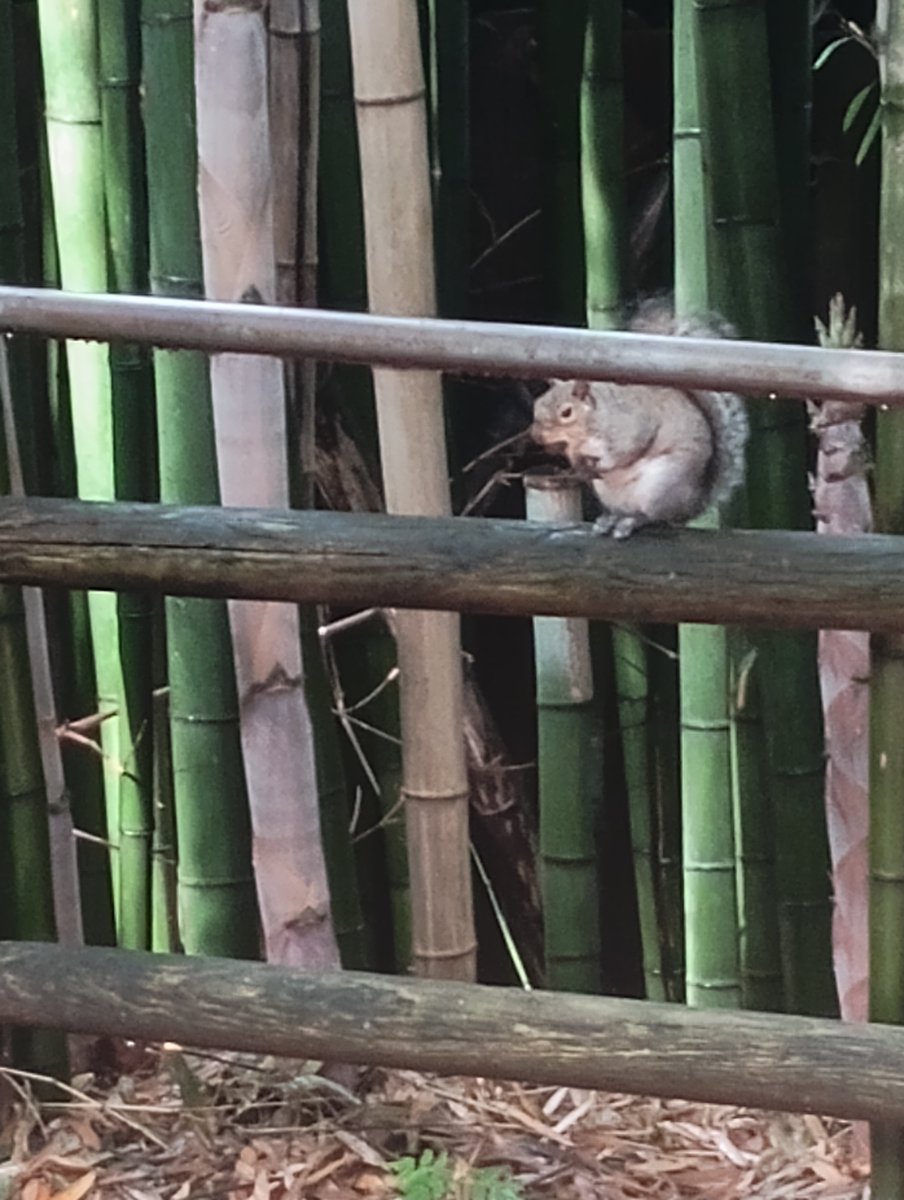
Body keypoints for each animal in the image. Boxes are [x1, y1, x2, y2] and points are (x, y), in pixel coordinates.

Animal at [530, 298, 750, 538]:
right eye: (537, 404)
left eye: (566, 412)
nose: (536, 437)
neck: (587, 432)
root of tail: (694, 503)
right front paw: (580, 467)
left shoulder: (630, 426)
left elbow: (629, 449)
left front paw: (604, 465)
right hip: (610, 494)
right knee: (623, 511)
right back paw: (609, 520)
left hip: (660, 487)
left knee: (655, 517)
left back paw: (632, 522)